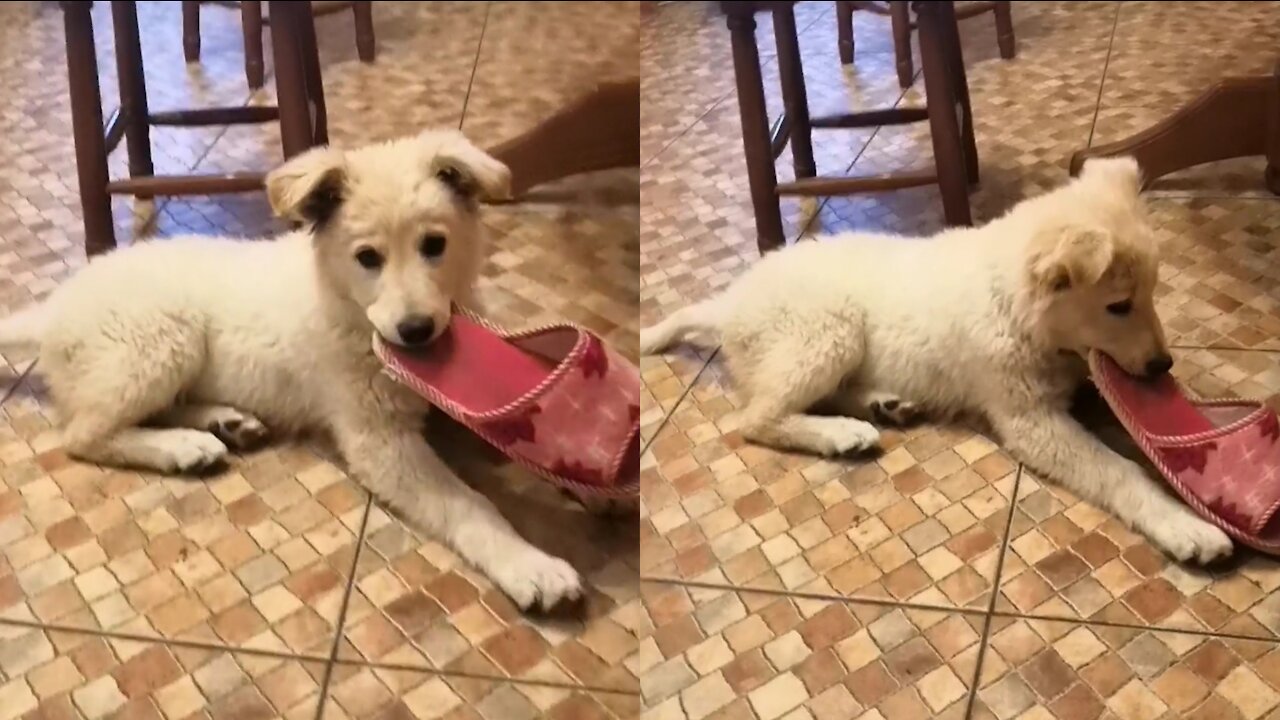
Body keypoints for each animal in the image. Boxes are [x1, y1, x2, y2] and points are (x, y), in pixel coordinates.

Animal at [0, 130, 581, 609]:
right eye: (367, 257)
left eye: (434, 245)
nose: (416, 330)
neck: (350, 311)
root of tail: (55, 308)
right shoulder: (379, 440)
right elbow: (469, 503)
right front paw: (529, 565)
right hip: (159, 342)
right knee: (85, 435)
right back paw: (182, 447)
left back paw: (224, 422)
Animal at [645, 158, 1233, 566]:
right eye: (1118, 306)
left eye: (1151, 294)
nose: (1162, 366)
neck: (1013, 303)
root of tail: (730, 304)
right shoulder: (1030, 419)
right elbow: (1118, 469)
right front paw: (1186, 526)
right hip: (828, 330)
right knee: (757, 417)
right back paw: (841, 433)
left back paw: (883, 405)